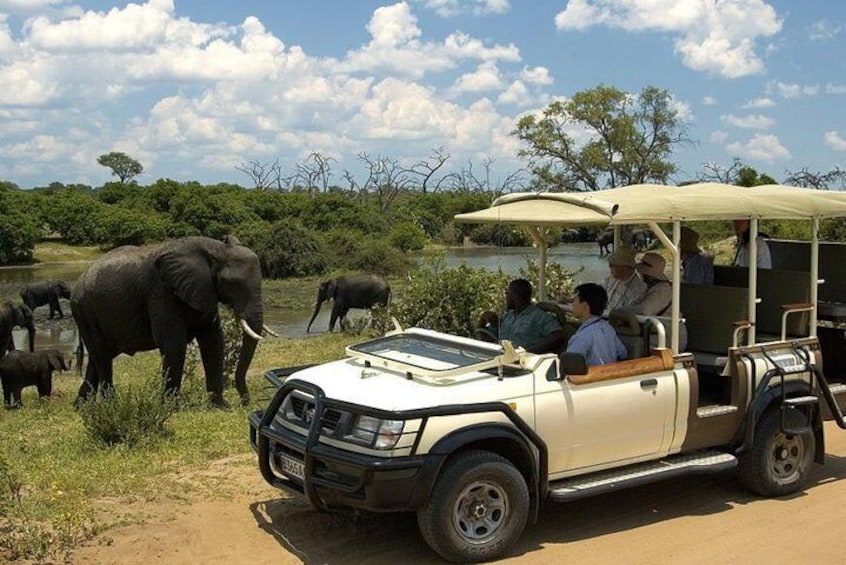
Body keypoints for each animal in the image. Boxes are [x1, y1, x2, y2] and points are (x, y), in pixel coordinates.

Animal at [73, 236, 272, 408]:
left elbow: (213, 341)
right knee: (102, 356)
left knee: (98, 357)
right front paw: (170, 407)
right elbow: (174, 344)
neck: (216, 248)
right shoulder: (161, 291)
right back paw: (111, 406)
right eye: (232, 284)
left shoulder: (204, 291)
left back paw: (81, 406)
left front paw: (220, 405)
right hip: (85, 312)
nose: (244, 402)